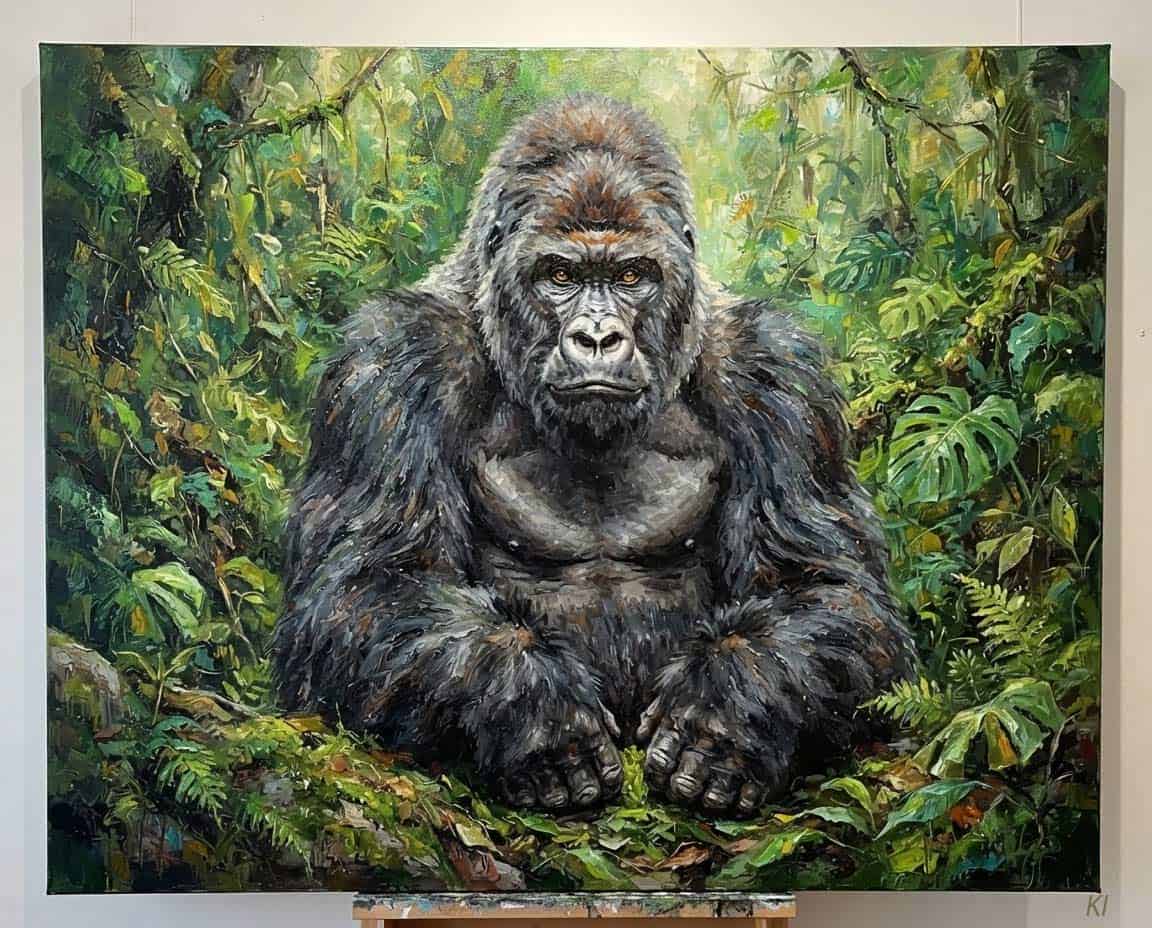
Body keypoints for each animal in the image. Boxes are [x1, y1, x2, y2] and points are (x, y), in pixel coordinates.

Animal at [273, 94, 915, 815]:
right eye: (560, 276)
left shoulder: (776, 373)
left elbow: (829, 589)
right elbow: (364, 588)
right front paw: (532, 706)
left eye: (632, 276)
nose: (598, 338)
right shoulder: (390, 364)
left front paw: (725, 710)